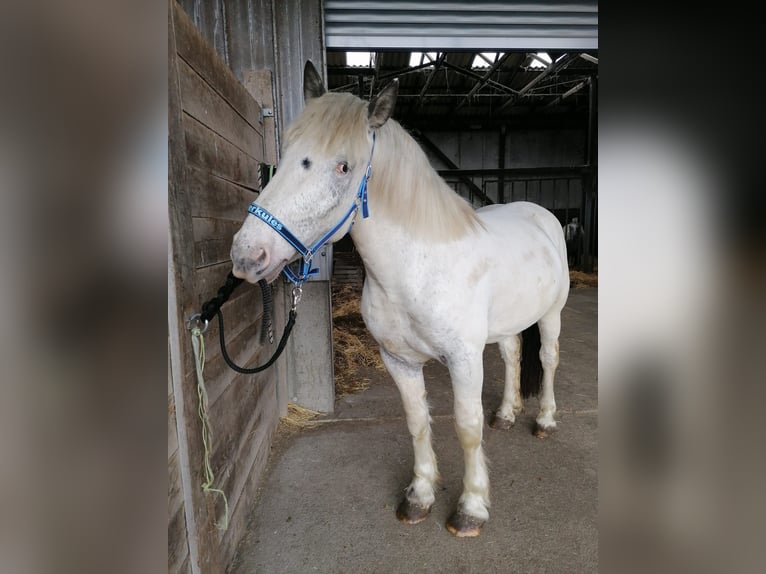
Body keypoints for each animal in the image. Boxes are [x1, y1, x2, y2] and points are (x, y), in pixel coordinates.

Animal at [232, 63, 568, 540]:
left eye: (343, 166)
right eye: (287, 152)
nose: (247, 255)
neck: (416, 271)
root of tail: (539, 214)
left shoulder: (464, 360)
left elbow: (467, 428)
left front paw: (471, 509)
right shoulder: (399, 361)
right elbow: (416, 421)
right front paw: (420, 496)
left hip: (552, 315)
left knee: (548, 358)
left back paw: (544, 421)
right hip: (506, 324)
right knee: (512, 354)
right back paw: (506, 413)